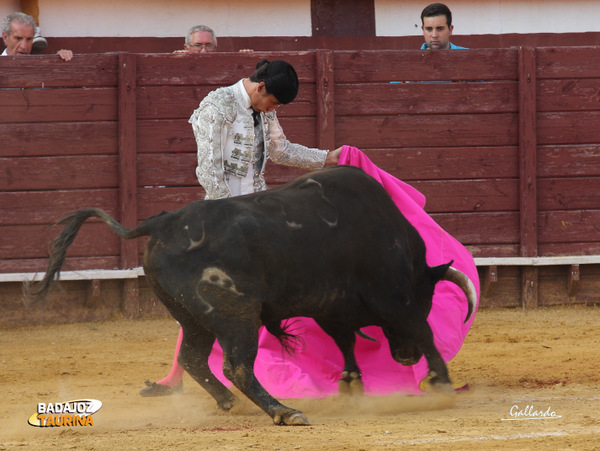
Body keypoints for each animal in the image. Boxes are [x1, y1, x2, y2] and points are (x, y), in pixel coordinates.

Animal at [25, 167, 478, 428]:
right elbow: (421, 328)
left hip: (193, 315)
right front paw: (439, 381)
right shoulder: (392, 299)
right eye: (427, 295)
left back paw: (228, 403)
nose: (403, 357)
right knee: (237, 365)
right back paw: (284, 411)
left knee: (194, 356)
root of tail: (162, 223)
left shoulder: (332, 306)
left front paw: (351, 381)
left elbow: (345, 340)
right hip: (236, 313)